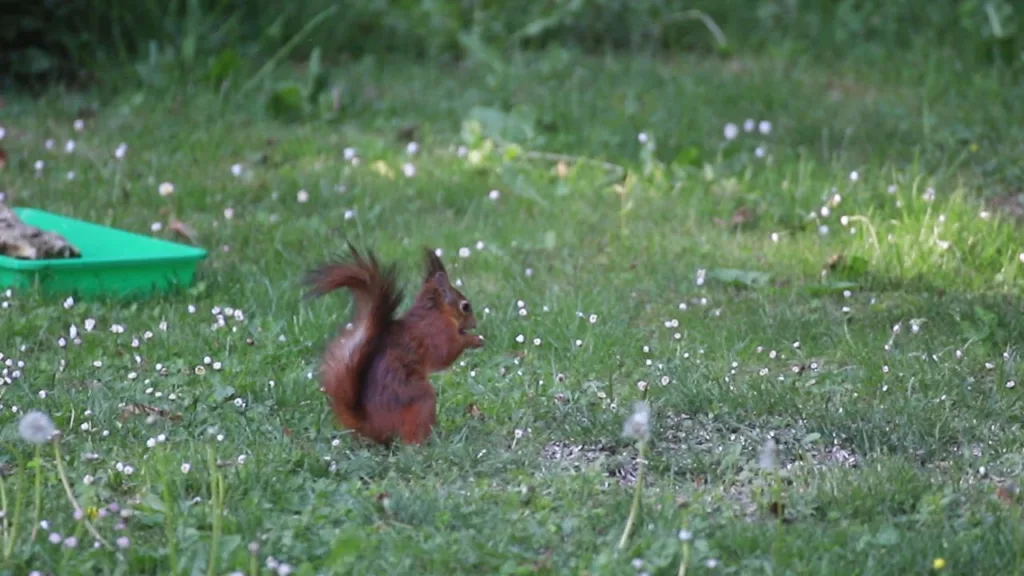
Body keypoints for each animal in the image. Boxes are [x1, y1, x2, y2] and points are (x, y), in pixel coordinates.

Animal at [303, 242, 485, 446]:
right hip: (421, 398)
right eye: (465, 306)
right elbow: (446, 354)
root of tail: (372, 429)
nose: (475, 324)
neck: (436, 313)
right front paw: (474, 340)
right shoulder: (437, 333)